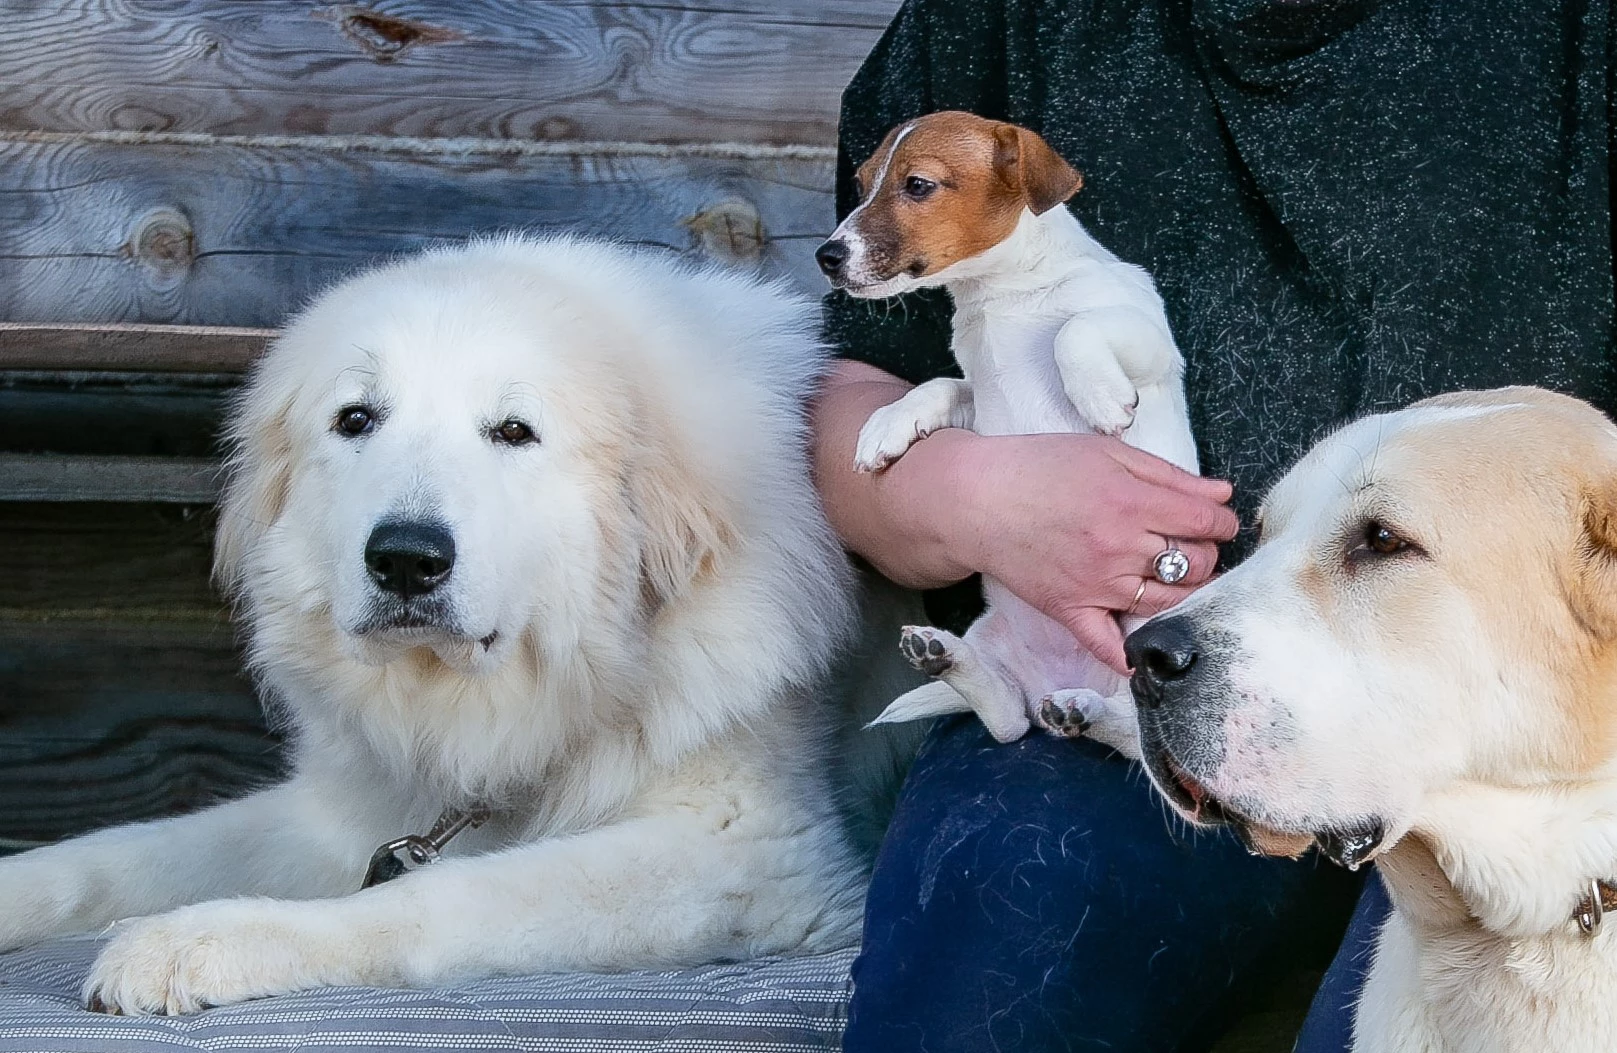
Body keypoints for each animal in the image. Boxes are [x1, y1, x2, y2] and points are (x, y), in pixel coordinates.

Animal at [0, 236, 873, 1015]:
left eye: (514, 431)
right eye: (356, 419)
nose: (406, 560)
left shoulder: (750, 856)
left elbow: (434, 898)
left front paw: (202, 939)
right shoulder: (342, 810)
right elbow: (107, 854)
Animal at [821, 111, 1203, 750]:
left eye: (917, 185)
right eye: (862, 181)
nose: (825, 256)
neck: (1003, 293)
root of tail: (1060, 675)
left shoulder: (1147, 340)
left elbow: (1076, 329)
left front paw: (1100, 398)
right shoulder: (978, 396)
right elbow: (940, 384)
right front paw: (888, 425)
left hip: (1153, 630)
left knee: (1130, 729)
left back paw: (1083, 710)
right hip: (995, 642)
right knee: (1007, 719)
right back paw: (947, 657)